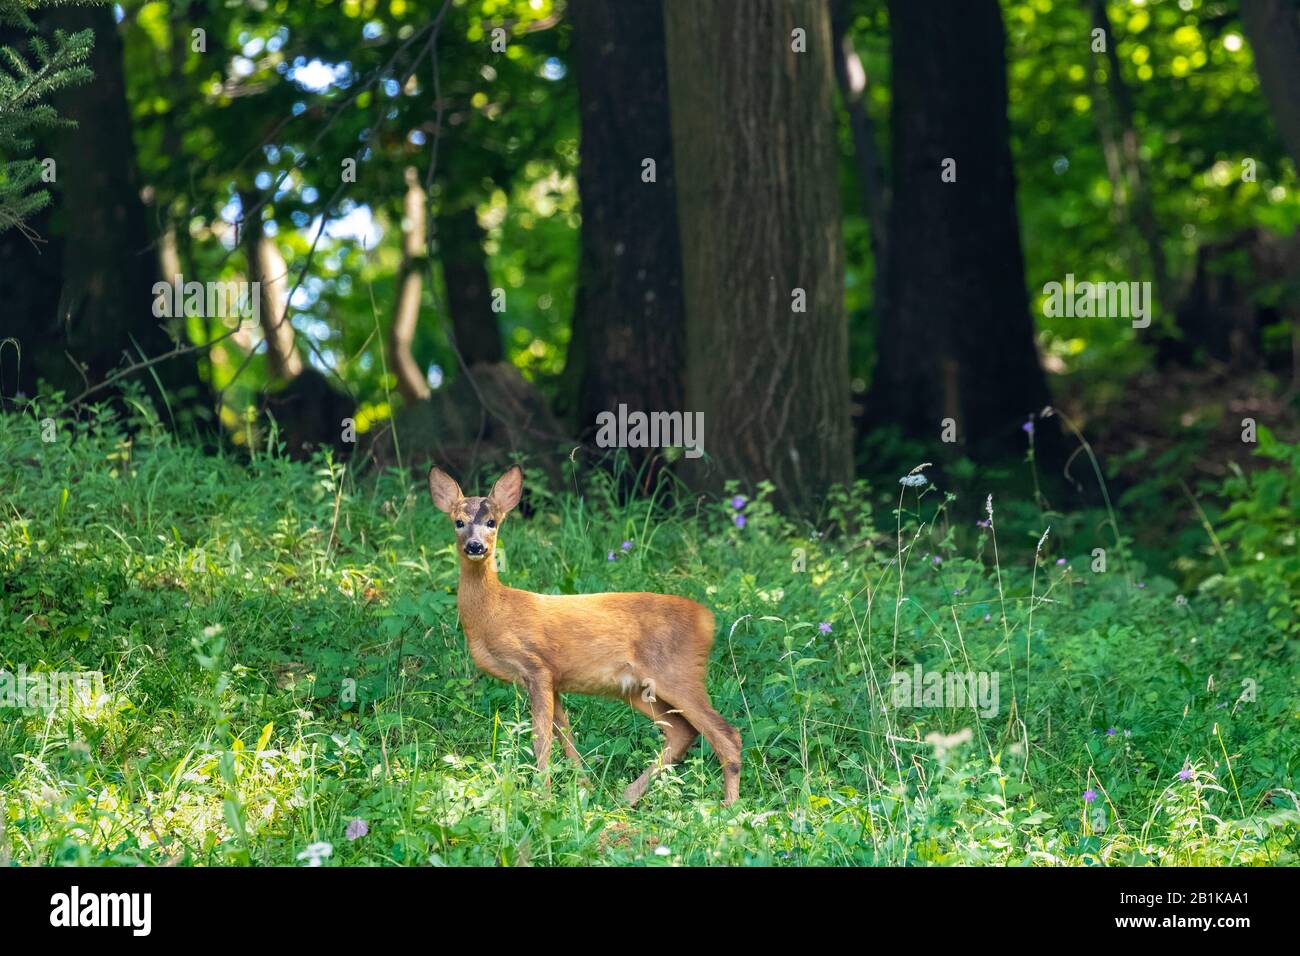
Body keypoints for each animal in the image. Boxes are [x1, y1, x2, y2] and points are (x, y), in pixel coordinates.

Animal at [428, 464, 741, 805]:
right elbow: (565, 736)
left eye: (491, 522)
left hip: (678, 672)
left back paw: (728, 806)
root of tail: (707, 619)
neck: (495, 613)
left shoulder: (536, 666)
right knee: (682, 731)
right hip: (638, 688)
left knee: (726, 733)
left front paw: (543, 796)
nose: (475, 546)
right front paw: (583, 788)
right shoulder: (552, 680)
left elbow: (541, 739)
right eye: (458, 522)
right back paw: (627, 796)